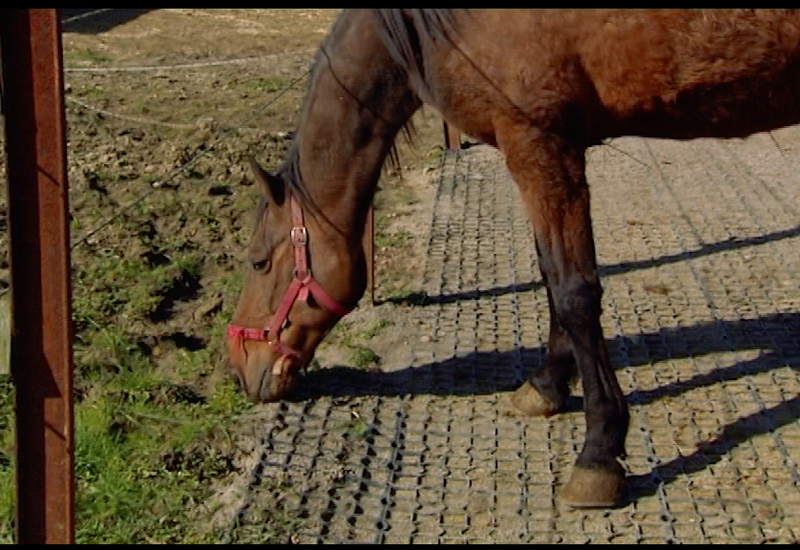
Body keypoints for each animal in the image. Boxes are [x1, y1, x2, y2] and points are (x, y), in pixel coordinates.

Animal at [227, 8, 800, 508]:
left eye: (257, 262)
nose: (239, 368)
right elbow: (551, 277)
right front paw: (546, 386)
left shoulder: (539, 146)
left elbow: (574, 293)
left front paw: (598, 453)